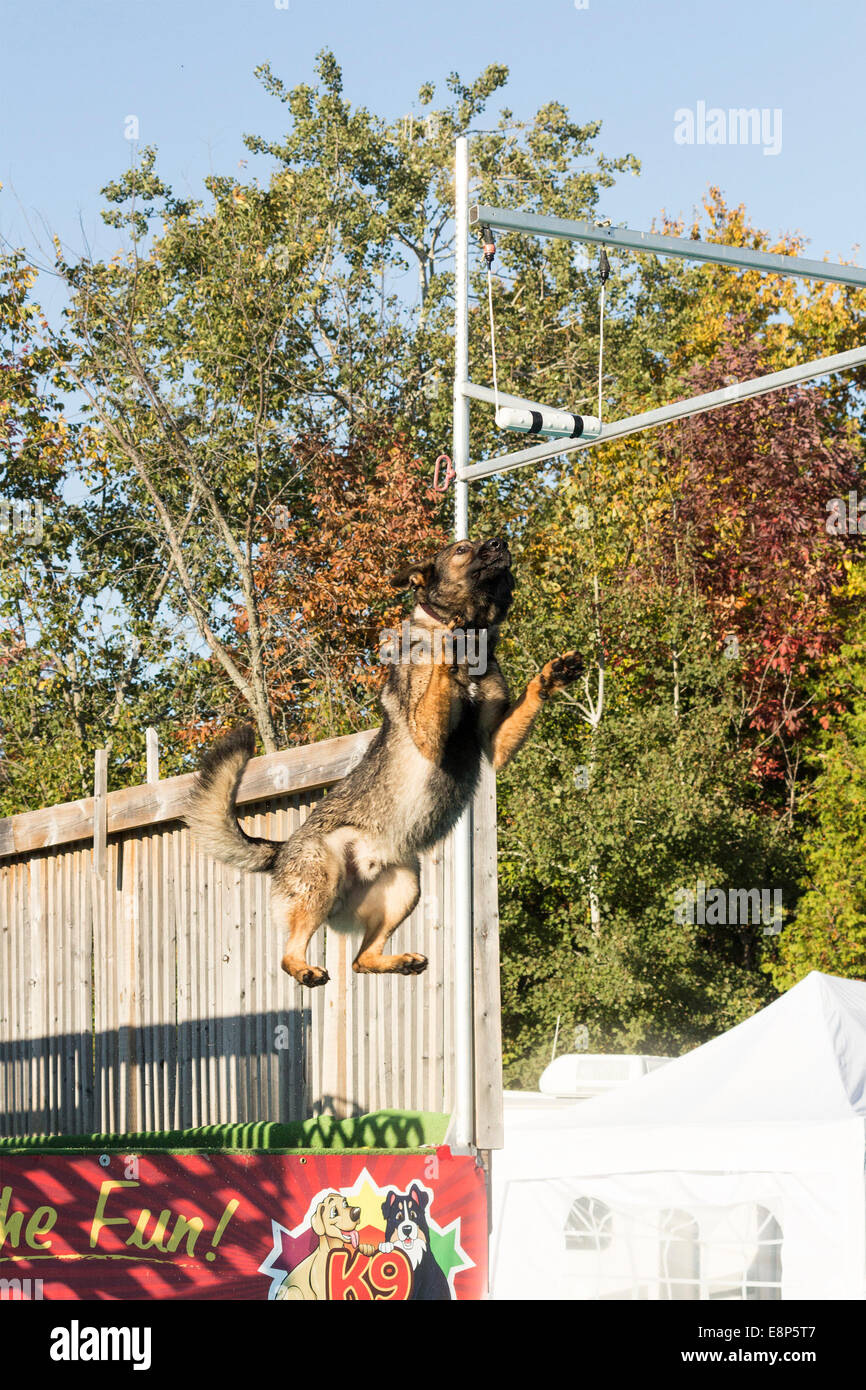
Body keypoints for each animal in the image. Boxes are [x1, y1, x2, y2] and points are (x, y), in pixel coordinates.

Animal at [184, 539, 583, 989]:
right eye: (463, 549)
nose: (501, 541)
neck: (474, 640)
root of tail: (284, 847)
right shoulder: (428, 733)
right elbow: (440, 665)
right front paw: (447, 640)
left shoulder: (495, 743)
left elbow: (529, 695)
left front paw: (553, 674)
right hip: (322, 875)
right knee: (288, 954)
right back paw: (306, 970)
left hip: (406, 885)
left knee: (361, 958)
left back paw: (399, 962)